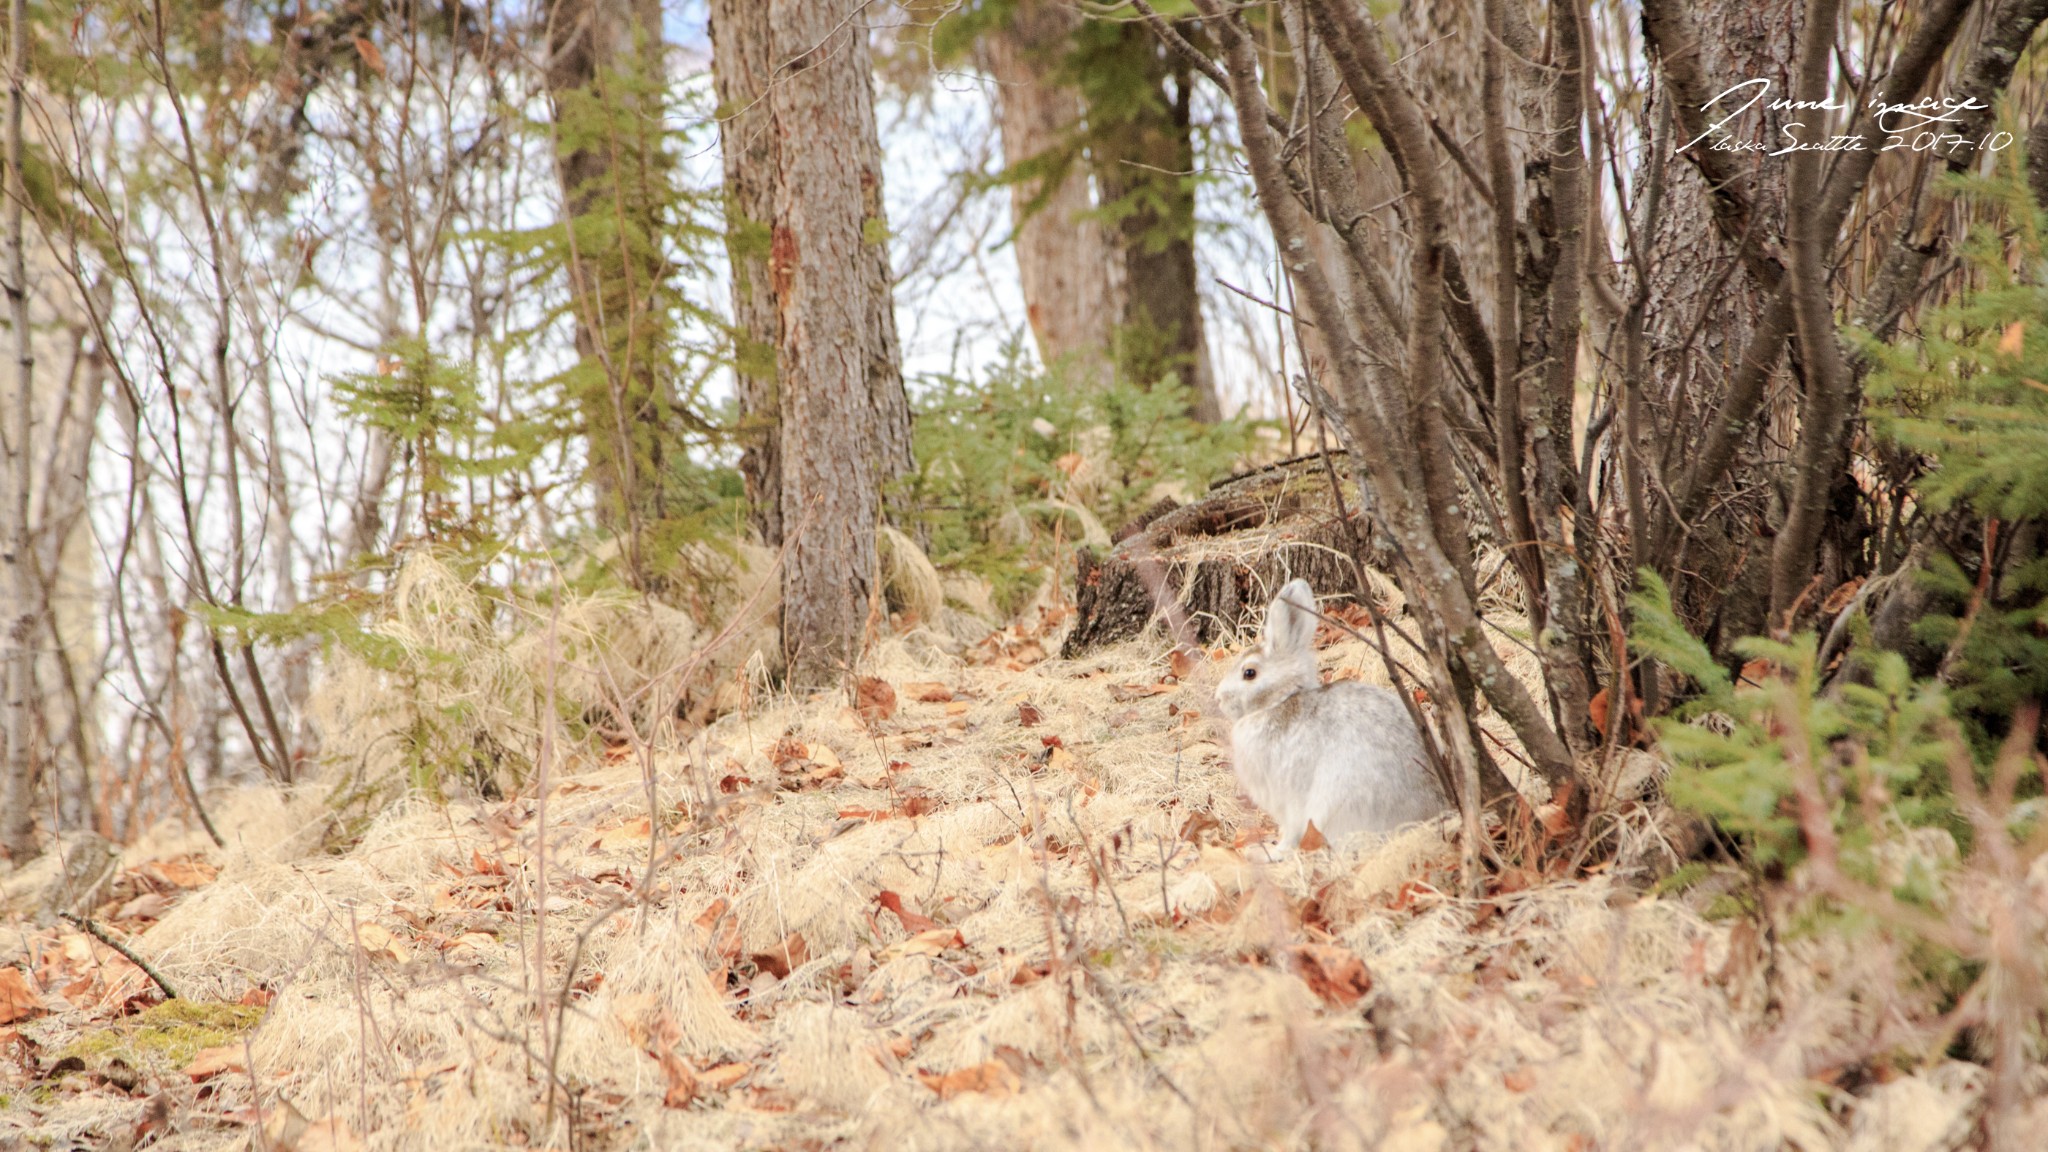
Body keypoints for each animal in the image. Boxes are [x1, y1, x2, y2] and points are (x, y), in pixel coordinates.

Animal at [1220, 578, 1449, 848]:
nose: (1219, 698)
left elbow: (1291, 831)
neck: (1280, 700)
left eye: (1249, 673)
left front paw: (1275, 851)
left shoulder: (1289, 800)